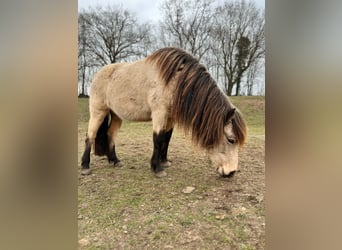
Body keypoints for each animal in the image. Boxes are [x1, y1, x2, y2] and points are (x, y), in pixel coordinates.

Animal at [80, 47, 246, 178]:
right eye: (231, 140)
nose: (231, 172)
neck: (175, 80)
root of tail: (98, 73)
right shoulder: (159, 113)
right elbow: (158, 138)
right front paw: (157, 168)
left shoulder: (170, 117)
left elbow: (167, 137)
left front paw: (164, 162)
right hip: (98, 112)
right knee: (90, 135)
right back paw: (85, 166)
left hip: (116, 115)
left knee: (111, 134)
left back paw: (115, 160)